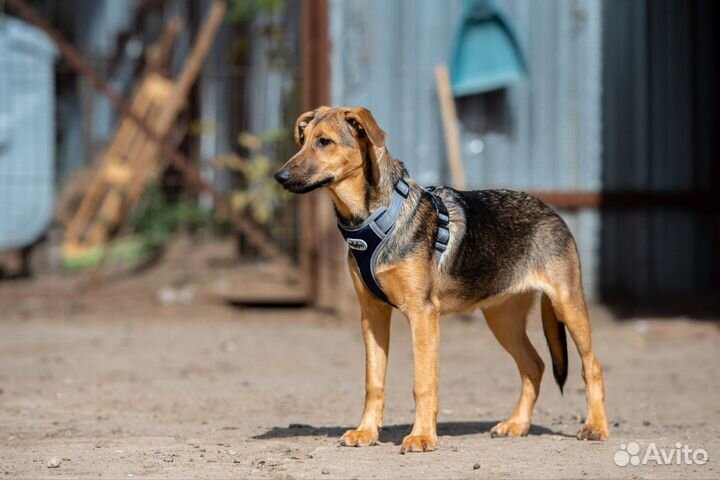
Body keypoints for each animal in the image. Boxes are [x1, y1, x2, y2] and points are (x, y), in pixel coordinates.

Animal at [274, 106, 608, 454]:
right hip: (502, 318)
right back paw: (517, 424)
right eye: (302, 140)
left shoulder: (422, 313)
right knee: (534, 365)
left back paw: (595, 427)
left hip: (567, 302)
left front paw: (422, 436)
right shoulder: (372, 315)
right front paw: (366, 432)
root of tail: (550, 210)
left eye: (324, 142)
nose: (279, 176)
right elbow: (373, 382)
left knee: (591, 366)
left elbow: (423, 382)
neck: (372, 218)